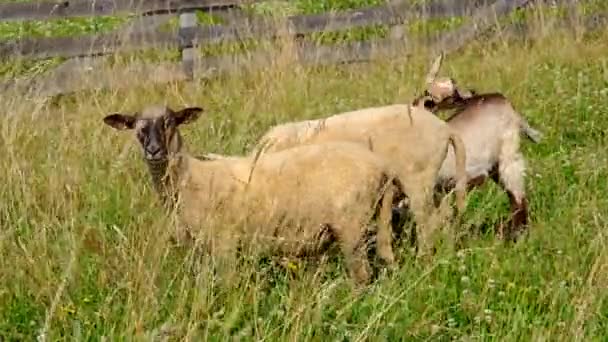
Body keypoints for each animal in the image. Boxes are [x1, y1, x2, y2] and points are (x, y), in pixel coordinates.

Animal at [102, 104, 406, 286]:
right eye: (136, 126)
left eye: (170, 122)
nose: (153, 150)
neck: (190, 178)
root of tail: (382, 167)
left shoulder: (225, 242)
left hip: (351, 224)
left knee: (362, 276)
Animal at [414, 54, 548, 240]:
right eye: (452, 94)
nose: (472, 92)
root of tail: (504, 101)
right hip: (495, 168)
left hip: (508, 160)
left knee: (519, 200)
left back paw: (518, 237)